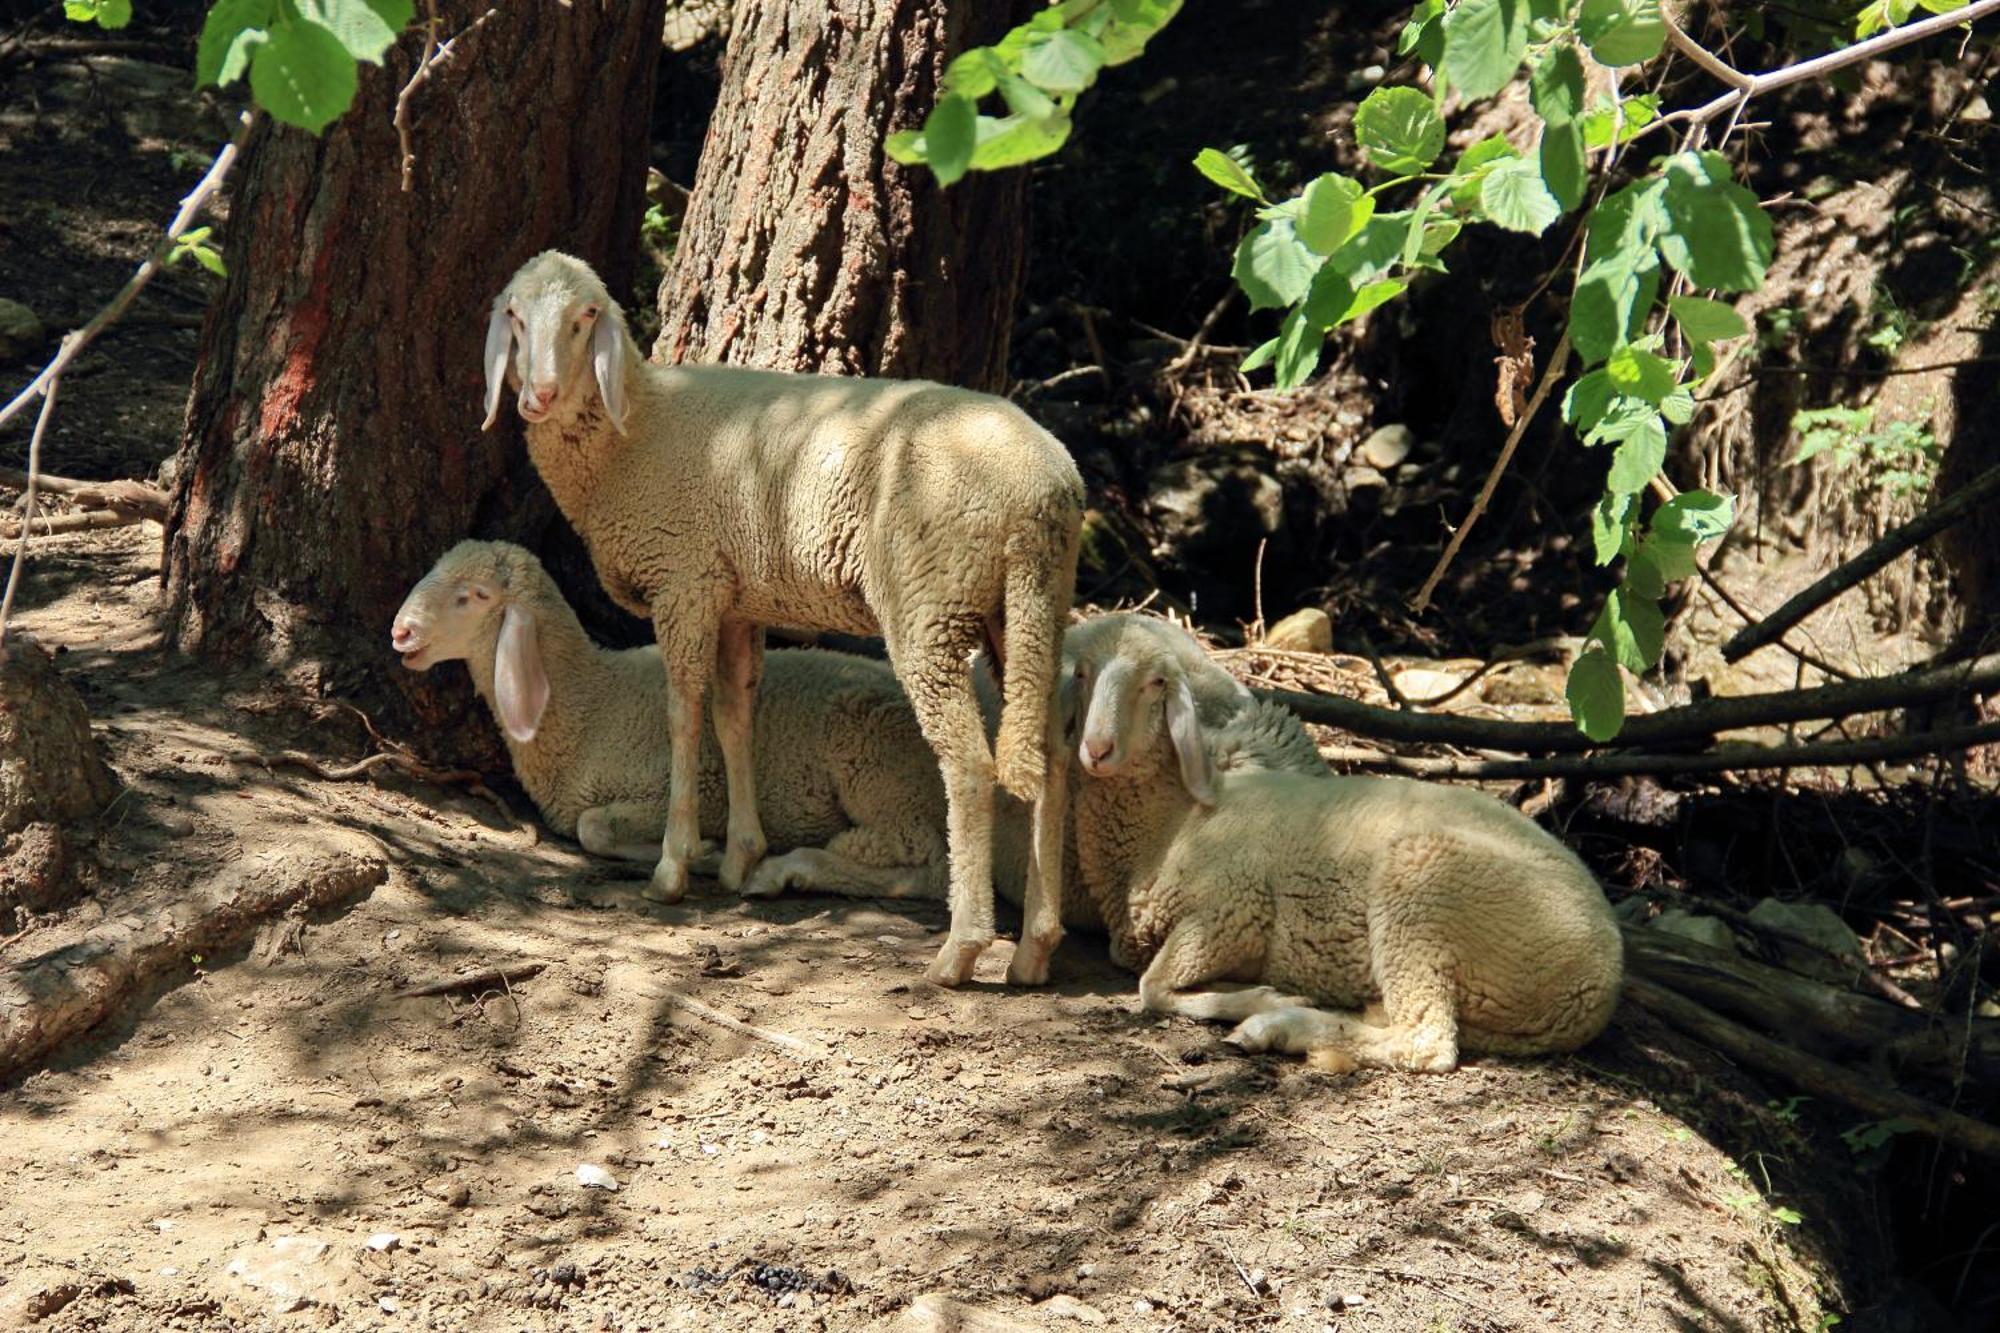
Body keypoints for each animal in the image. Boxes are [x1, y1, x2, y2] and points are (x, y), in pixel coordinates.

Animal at [480, 249, 1096, 980]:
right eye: (515, 316)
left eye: (585, 317)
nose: (538, 396)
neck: (635, 433)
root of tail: (1045, 488)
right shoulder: (734, 596)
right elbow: (734, 713)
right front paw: (741, 855)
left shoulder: (685, 579)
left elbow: (683, 713)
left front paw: (673, 867)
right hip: (1029, 607)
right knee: (1050, 754)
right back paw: (1035, 947)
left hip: (932, 602)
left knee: (970, 764)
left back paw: (960, 950)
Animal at [1064, 612, 1624, 1072]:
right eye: (1082, 674)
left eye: (1156, 682)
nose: (1097, 749)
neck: (1170, 823)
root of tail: (1600, 982)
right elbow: (1145, 976)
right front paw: (1257, 992)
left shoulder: (1232, 909)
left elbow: (1153, 988)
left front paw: (1263, 999)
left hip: (1423, 895)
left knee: (1426, 1042)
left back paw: (1280, 1027)